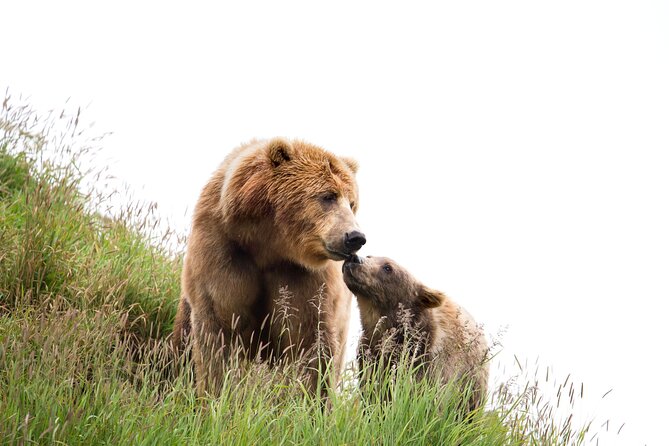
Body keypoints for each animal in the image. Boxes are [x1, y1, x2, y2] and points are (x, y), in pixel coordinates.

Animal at [172, 138, 365, 398]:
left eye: (352, 203)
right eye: (328, 196)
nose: (355, 237)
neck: (270, 244)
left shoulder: (304, 278)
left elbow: (313, 342)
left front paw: (312, 400)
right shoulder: (222, 251)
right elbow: (217, 330)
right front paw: (215, 393)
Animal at [342, 255, 489, 412]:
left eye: (388, 267)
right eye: (370, 256)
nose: (355, 258)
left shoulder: (428, 363)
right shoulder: (369, 357)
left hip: (471, 384)